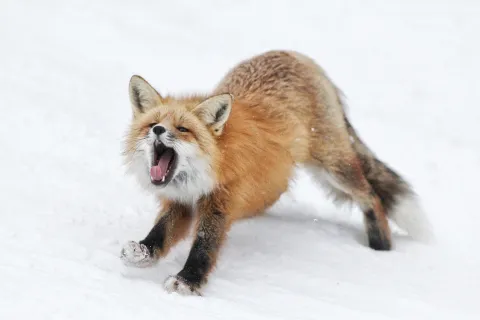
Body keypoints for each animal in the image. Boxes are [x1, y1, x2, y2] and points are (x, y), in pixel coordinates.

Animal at [121, 49, 436, 296]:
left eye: (183, 129)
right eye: (152, 124)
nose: (158, 130)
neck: (211, 167)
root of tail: (296, 55)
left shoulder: (220, 202)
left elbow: (204, 246)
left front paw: (188, 282)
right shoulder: (182, 201)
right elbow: (161, 233)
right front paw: (143, 253)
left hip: (333, 169)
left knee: (372, 197)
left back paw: (380, 247)